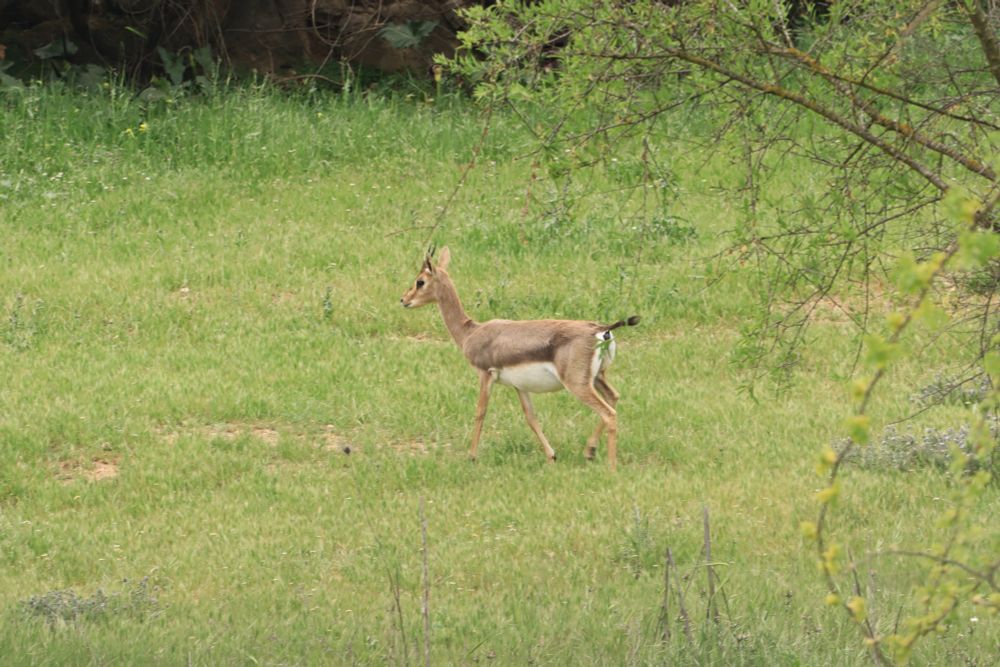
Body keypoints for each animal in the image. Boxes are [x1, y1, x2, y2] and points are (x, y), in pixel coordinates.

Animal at [400, 246, 639, 471]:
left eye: (420, 281)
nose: (403, 300)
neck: (471, 332)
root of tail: (601, 330)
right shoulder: (520, 386)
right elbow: (530, 417)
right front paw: (551, 456)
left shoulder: (485, 374)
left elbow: (480, 412)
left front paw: (472, 457)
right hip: (598, 377)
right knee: (614, 397)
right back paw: (589, 451)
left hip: (577, 384)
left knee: (609, 413)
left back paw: (611, 467)